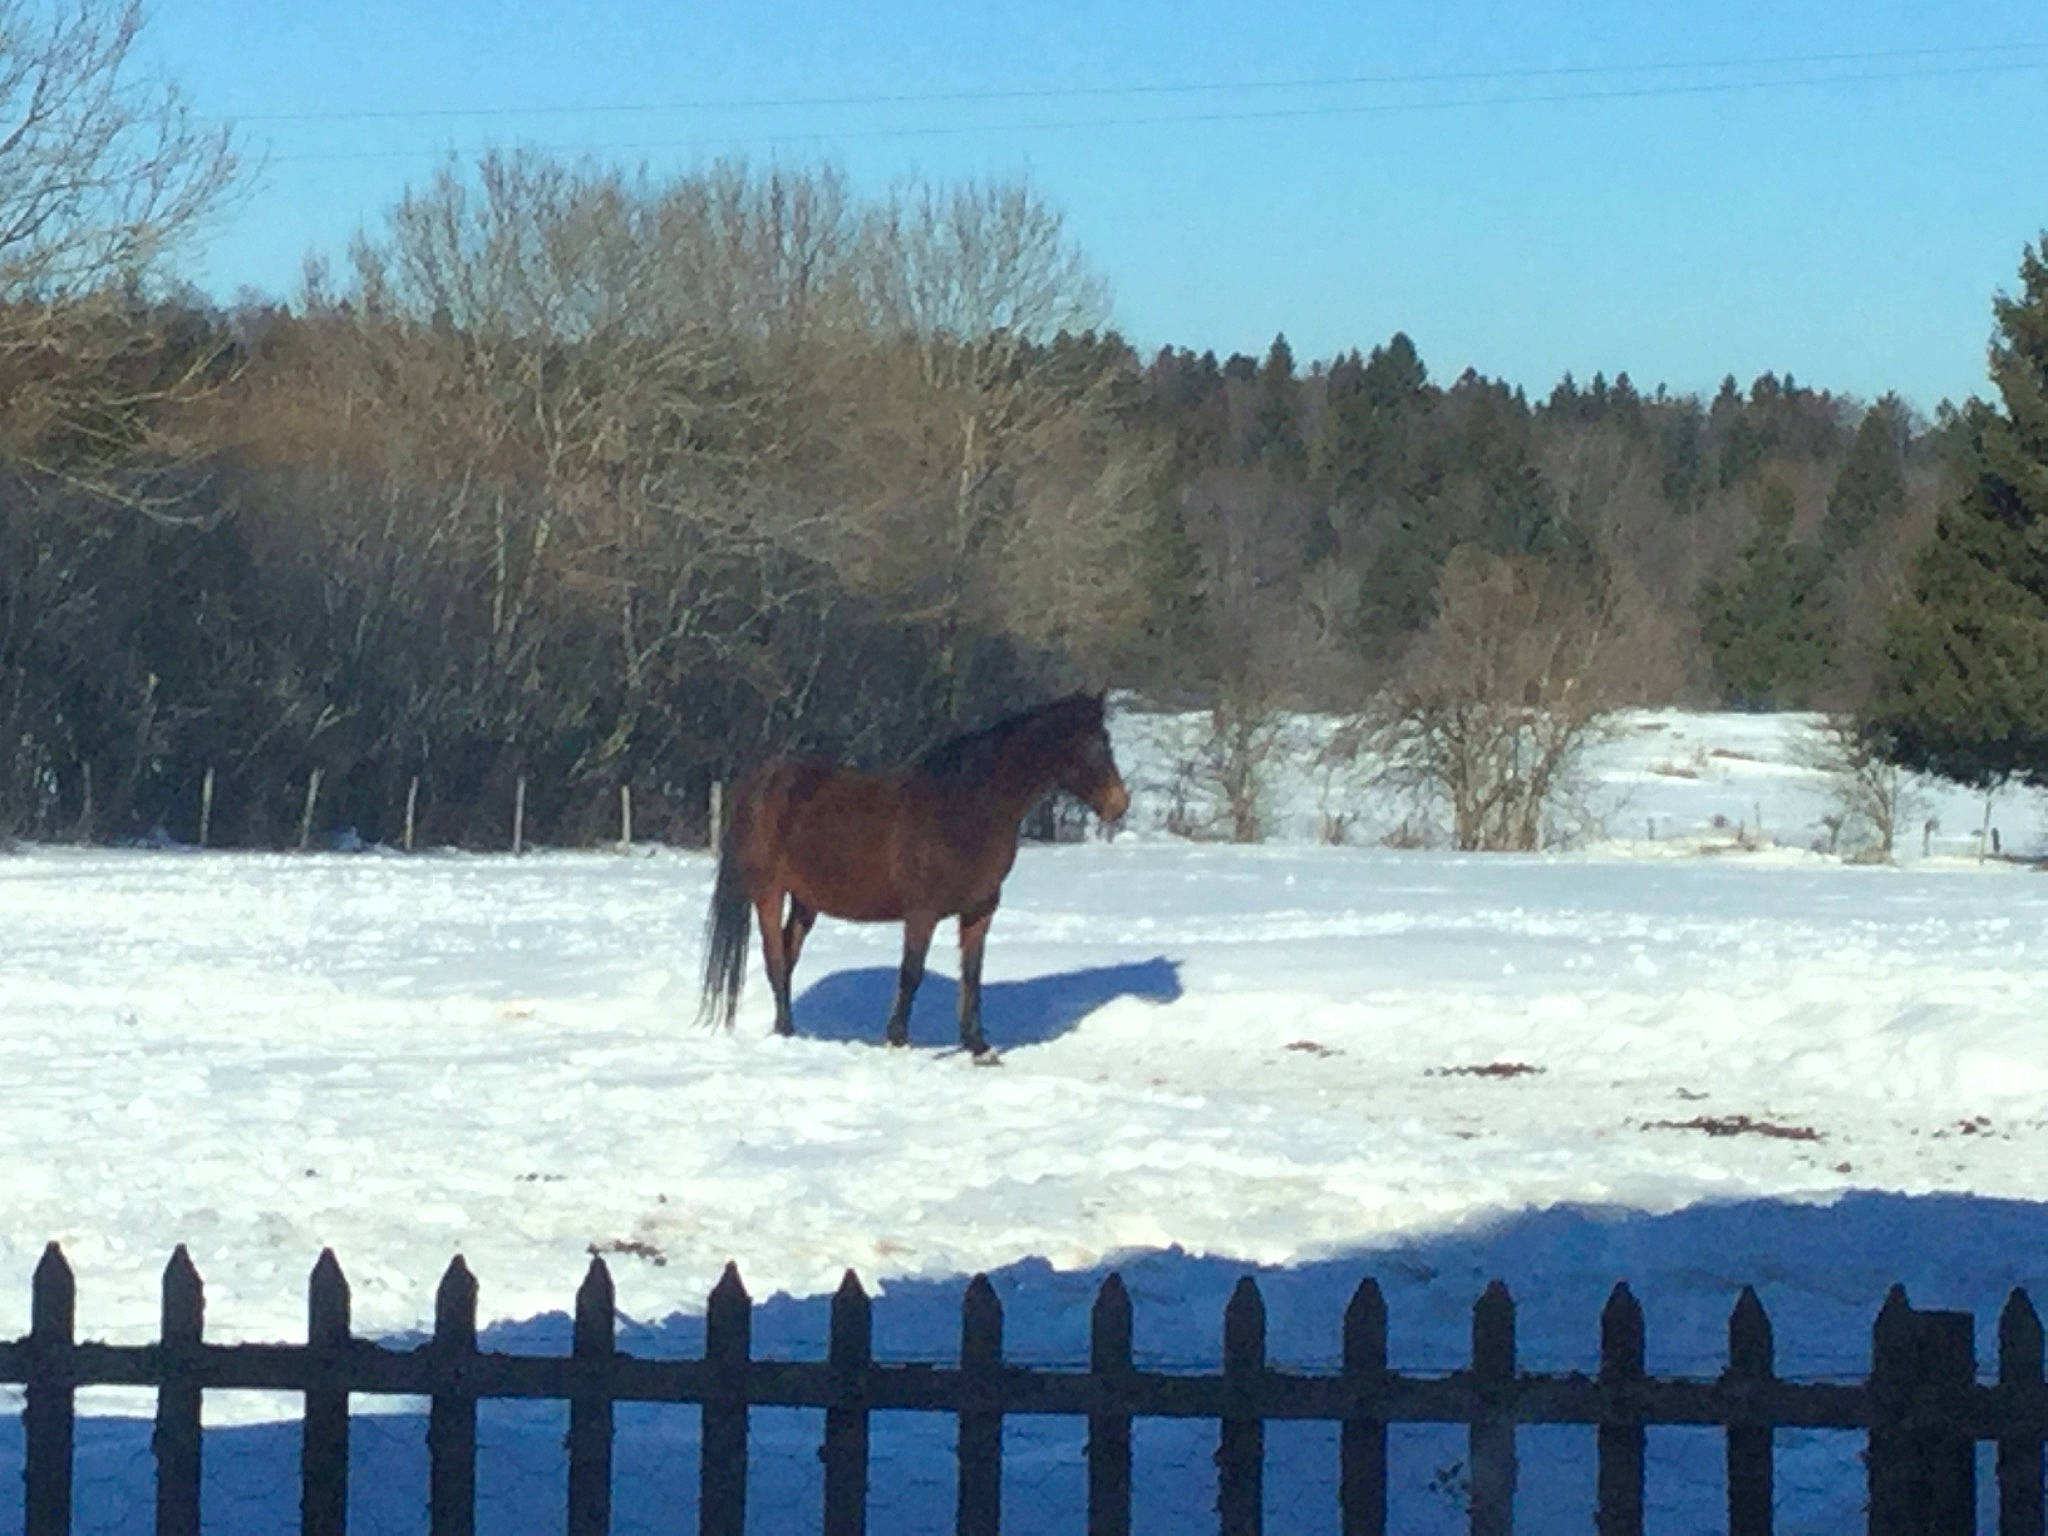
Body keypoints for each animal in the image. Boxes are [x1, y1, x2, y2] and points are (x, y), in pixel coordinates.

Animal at [697, 691, 1130, 1059]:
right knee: (774, 958)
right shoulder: (922, 913)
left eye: (1107, 740)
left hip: (807, 902)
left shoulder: (979, 912)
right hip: (769, 893)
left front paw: (978, 1046)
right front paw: (898, 1040)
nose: (1119, 804)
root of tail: (762, 779)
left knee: (788, 956)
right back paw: (786, 1032)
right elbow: (911, 973)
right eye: (1091, 745)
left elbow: (972, 976)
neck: (966, 809)